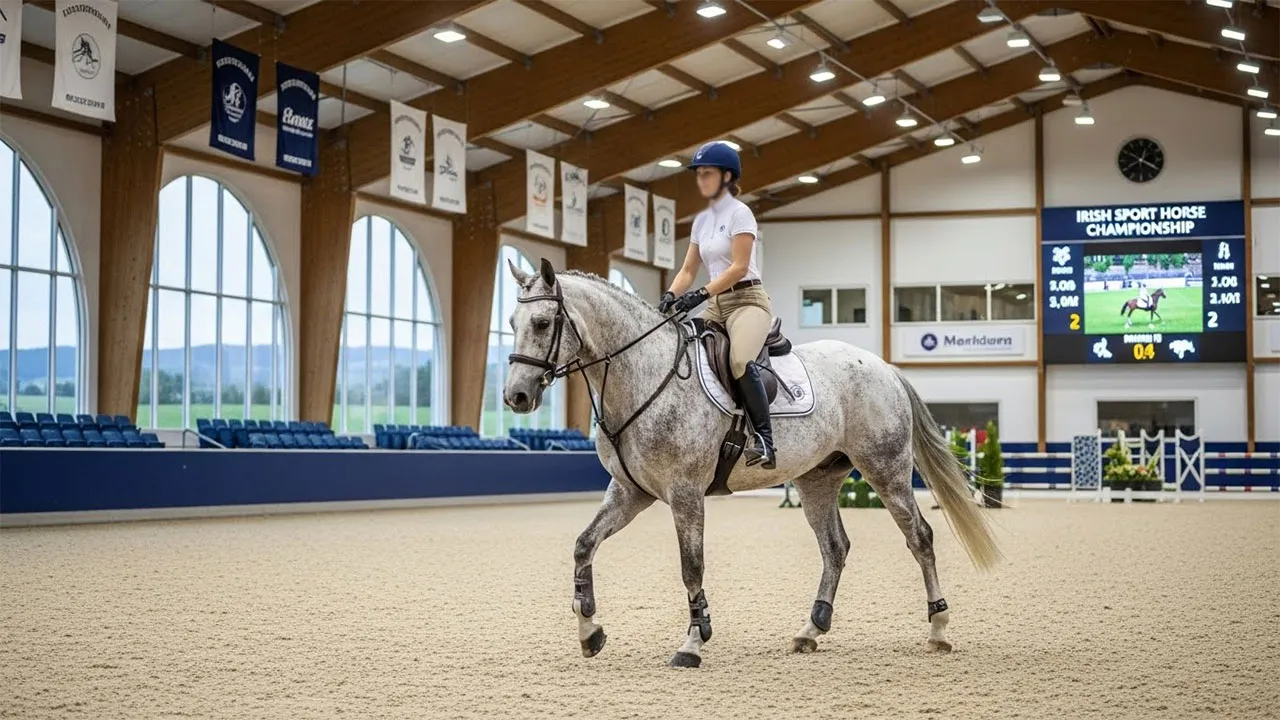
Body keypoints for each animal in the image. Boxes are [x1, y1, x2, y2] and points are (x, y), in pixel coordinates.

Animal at [502, 259, 1000, 668]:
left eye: (542, 323)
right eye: (511, 322)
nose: (516, 396)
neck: (643, 374)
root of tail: (883, 367)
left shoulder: (685, 494)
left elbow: (691, 566)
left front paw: (692, 643)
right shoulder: (631, 493)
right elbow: (583, 545)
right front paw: (590, 631)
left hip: (886, 468)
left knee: (920, 538)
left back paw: (938, 630)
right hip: (817, 479)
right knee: (835, 547)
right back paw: (811, 629)